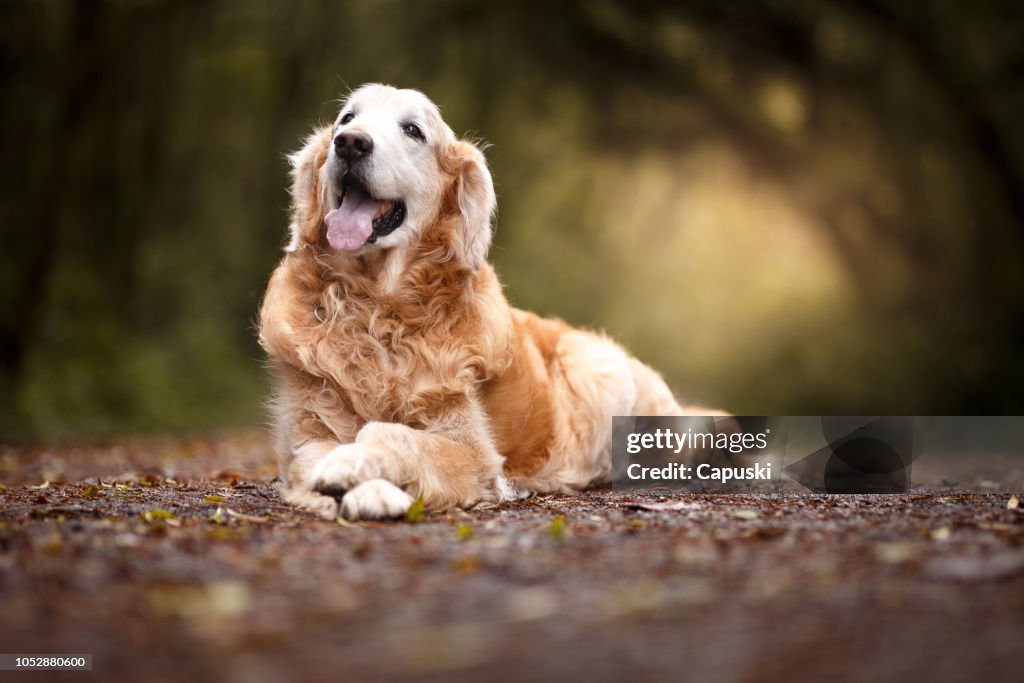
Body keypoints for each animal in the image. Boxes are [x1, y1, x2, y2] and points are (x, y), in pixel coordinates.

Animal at [256, 83, 712, 518]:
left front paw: (359, 474)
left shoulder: (471, 449)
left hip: (601, 373)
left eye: (413, 130)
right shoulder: (304, 434)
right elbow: (318, 454)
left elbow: (392, 433)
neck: (378, 309)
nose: (350, 142)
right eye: (347, 119)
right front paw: (352, 481)